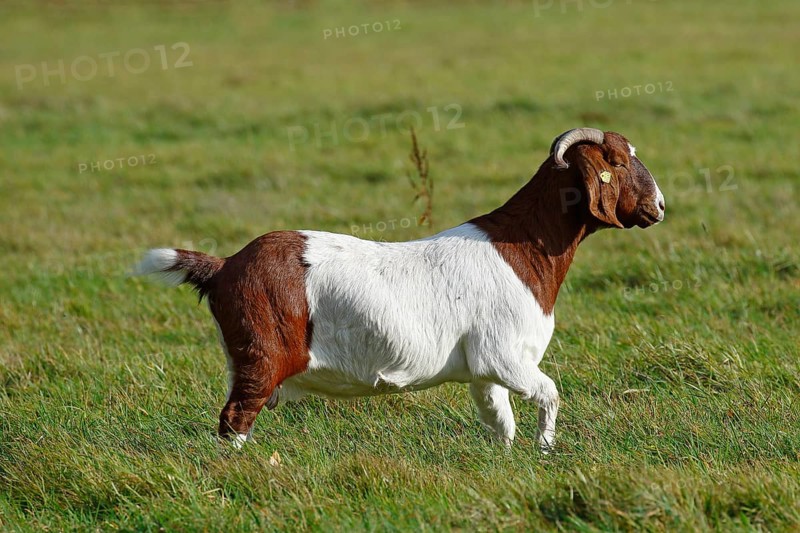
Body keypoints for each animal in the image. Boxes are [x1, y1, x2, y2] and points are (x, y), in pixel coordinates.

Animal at [135, 128, 665, 451]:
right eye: (617, 162)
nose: (659, 206)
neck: (523, 250)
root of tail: (225, 266)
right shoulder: (504, 354)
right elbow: (550, 394)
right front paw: (548, 451)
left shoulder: (483, 370)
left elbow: (500, 422)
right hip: (262, 358)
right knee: (235, 419)